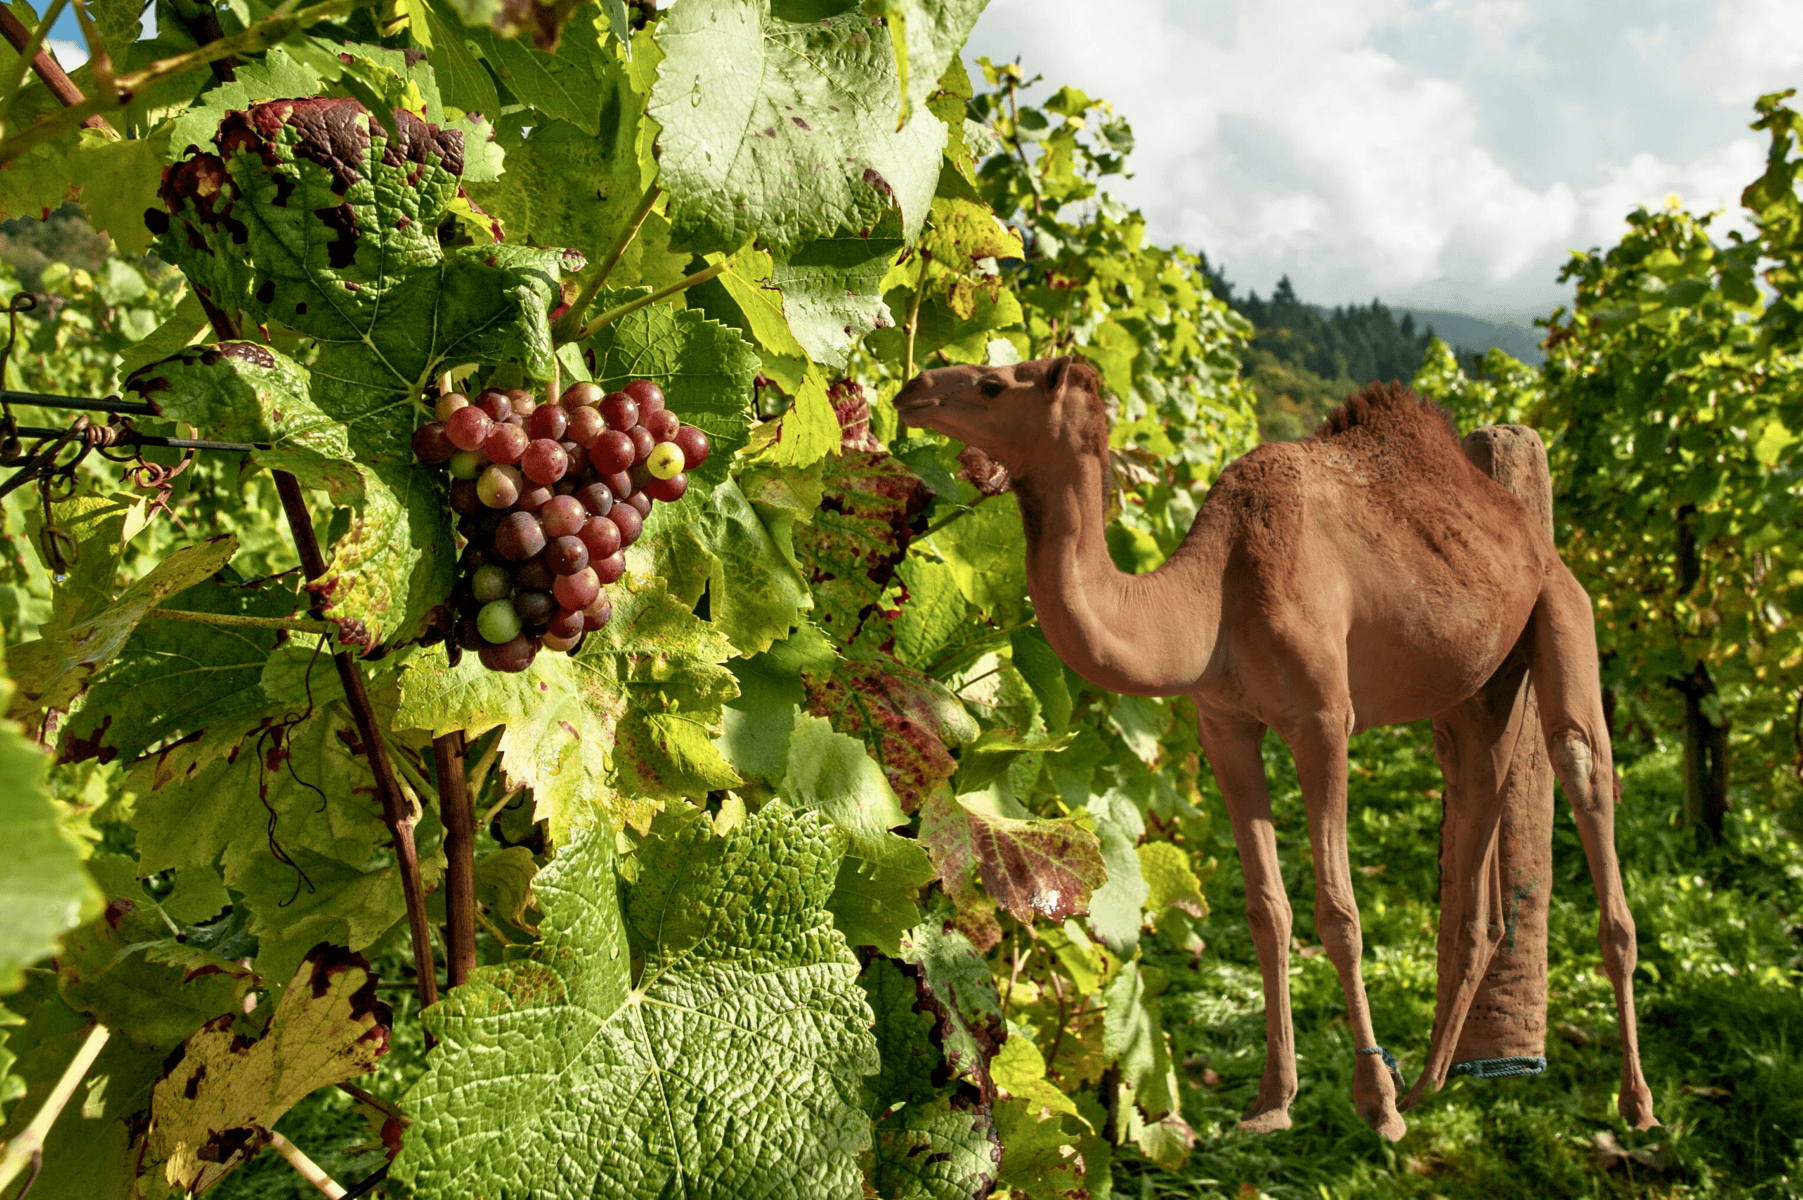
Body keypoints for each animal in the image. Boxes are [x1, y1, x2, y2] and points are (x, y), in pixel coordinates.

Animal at [894, 351, 1651, 1138]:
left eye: (992, 384)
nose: (913, 388)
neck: (1212, 599)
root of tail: (1525, 527)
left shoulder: (1322, 720)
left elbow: (1338, 914)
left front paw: (1373, 1104)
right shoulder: (1222, 724)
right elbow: (1267, 909)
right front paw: (1272, 1101)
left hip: (1561, 605)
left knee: (1581, 769)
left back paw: (1632, 1103)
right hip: (1475, 688)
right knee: (1476, 817)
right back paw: (1430, 1083)